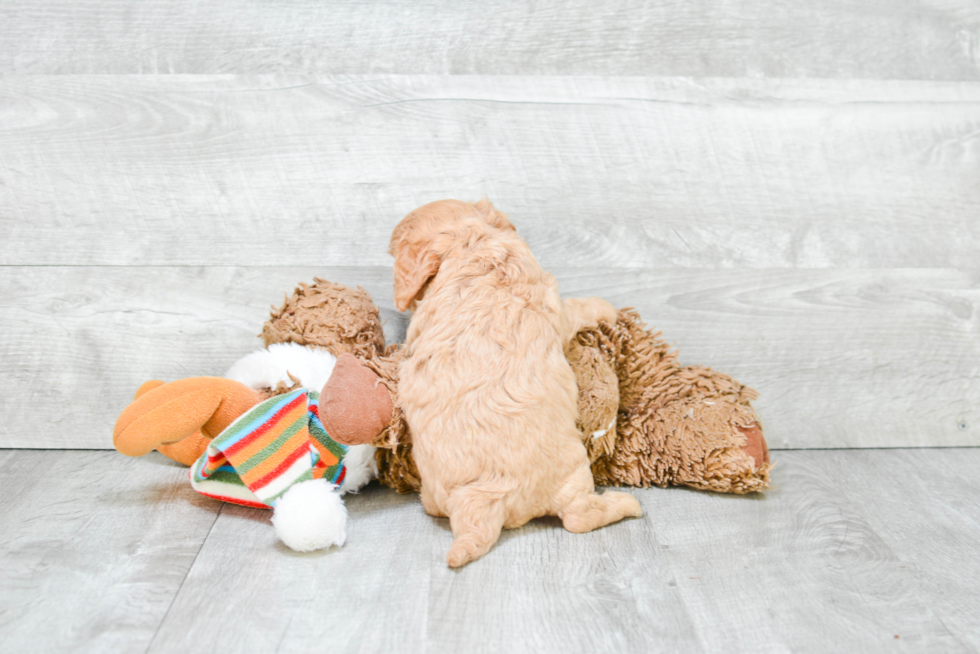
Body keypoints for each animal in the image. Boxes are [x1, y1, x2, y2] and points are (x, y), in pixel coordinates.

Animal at [390, 200, 644, 568]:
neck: (471, 244)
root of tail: (483, 501)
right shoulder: (556, 303)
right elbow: (578, 307)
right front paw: (606, 308)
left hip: (434, 494)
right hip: (572, 474)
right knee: (579, 516)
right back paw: (625, 505)